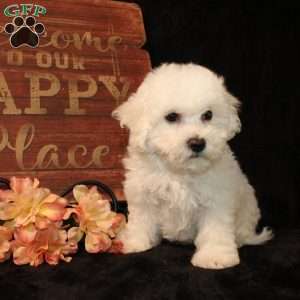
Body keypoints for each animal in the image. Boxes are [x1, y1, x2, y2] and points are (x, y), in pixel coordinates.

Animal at [112, 63, 272, 270]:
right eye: (172, 117)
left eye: (208, 115)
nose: (197, 143)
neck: (180, 171)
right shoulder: (143, 193)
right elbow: (141, 220)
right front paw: (135, 242)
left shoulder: (217, 199)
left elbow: (215, 229)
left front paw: (215, 256)